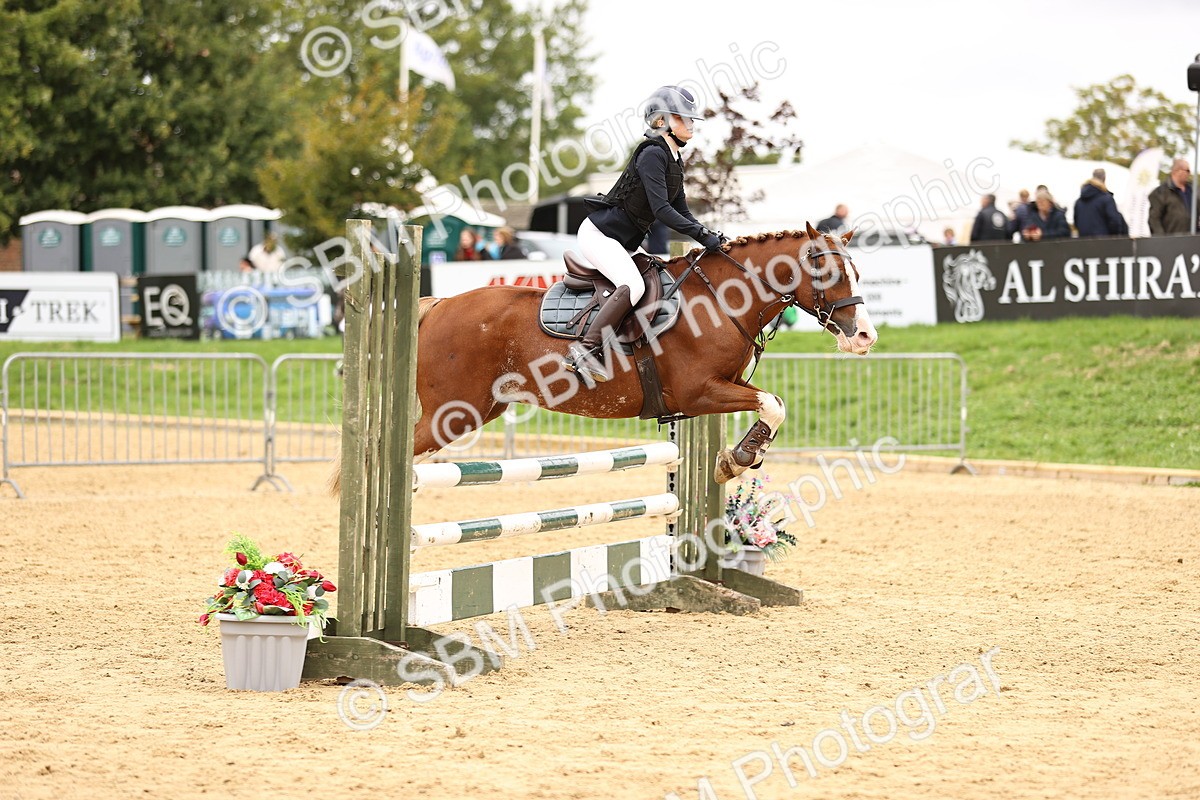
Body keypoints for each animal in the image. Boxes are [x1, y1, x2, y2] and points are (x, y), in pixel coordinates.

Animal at [407, 221, 877, 485]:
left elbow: (772, 404)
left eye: (857, 272)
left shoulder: (726, 384)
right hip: (452, 413)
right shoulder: (698, 392)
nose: (865, 337)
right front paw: (738, 461)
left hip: (482, 408)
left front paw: (736, 460)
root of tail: (438, 305)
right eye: (830, 274)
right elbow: (773, 403)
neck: (721, 298)